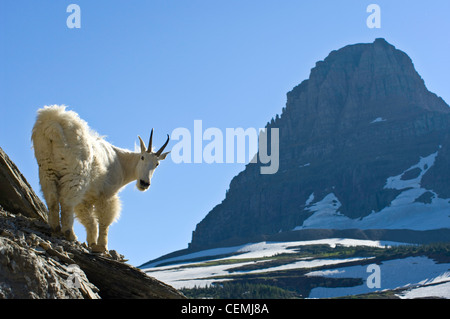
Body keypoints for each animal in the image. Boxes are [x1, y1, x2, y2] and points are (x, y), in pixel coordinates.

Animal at [31, 106, 169, 254]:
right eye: (142, 157)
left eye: (157, 164)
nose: (144, 183)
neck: (120, 162)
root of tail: (53, 123)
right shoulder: (107, 193)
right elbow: (104, 219)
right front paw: (102, 246)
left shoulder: (86, 199)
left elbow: (89, 220)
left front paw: (92, 243)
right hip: (75, 173)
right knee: (66, 202)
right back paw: (70, 234)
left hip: (47, 168)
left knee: (51, 199)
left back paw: (56, 229)